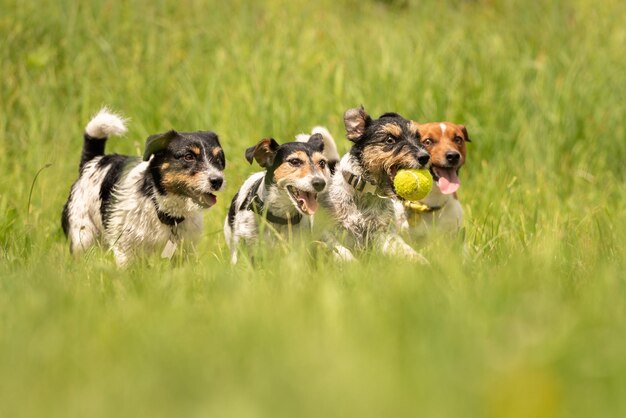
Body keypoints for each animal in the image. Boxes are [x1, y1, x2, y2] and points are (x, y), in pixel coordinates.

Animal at [61, 107, 225, 264]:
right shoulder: (126, 252)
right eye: (189, 156)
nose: (217, 181)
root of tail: (93, 161)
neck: (160, 208)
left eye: (219, 158)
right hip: (83, 238)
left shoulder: (184, 253)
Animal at [316, 106, 428, 262]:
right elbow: (339, 249)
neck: (364, 194)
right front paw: (351, 263)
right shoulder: (327, 230)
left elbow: (405, 249)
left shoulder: (383, 234)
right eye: (389, 139)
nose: (425, 157)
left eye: (417, 137)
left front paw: (422, 261)